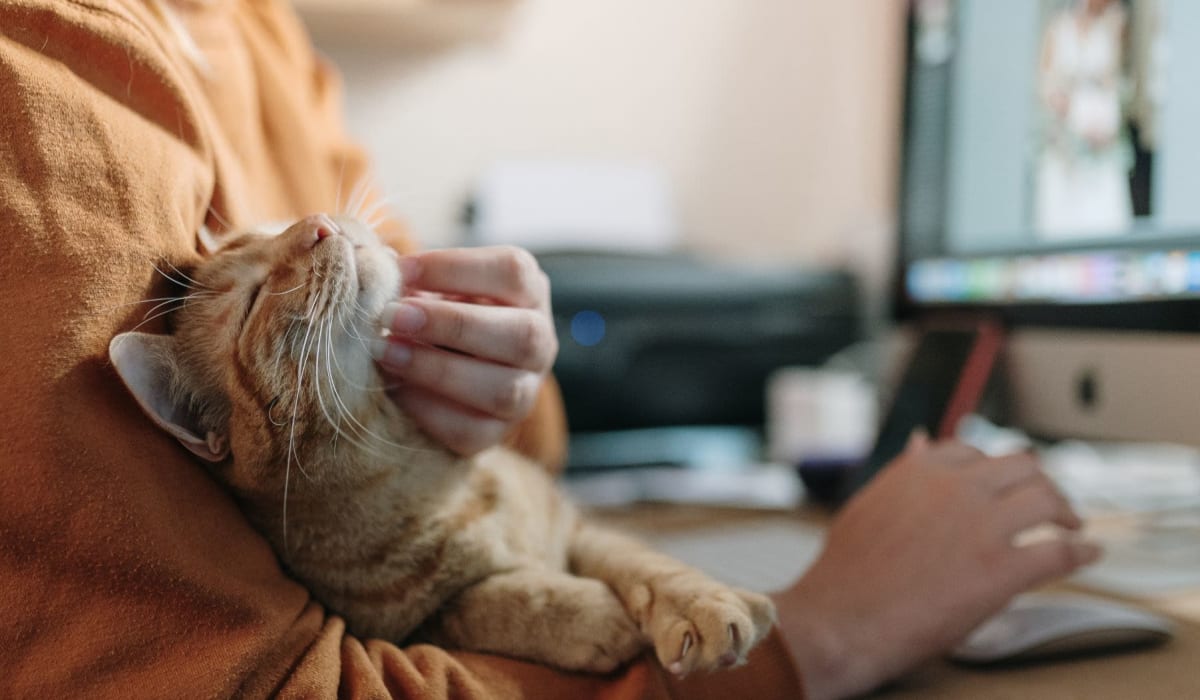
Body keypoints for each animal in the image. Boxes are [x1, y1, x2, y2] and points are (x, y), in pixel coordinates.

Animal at [108, 214, 772, 672]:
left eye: (278, 225)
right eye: (251, 301)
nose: (320, 223)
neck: (424, 479)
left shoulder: (577, 525)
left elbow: (644, 562)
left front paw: (704, 605)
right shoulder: (404, 629)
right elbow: (495, 601)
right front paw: (592, 616)